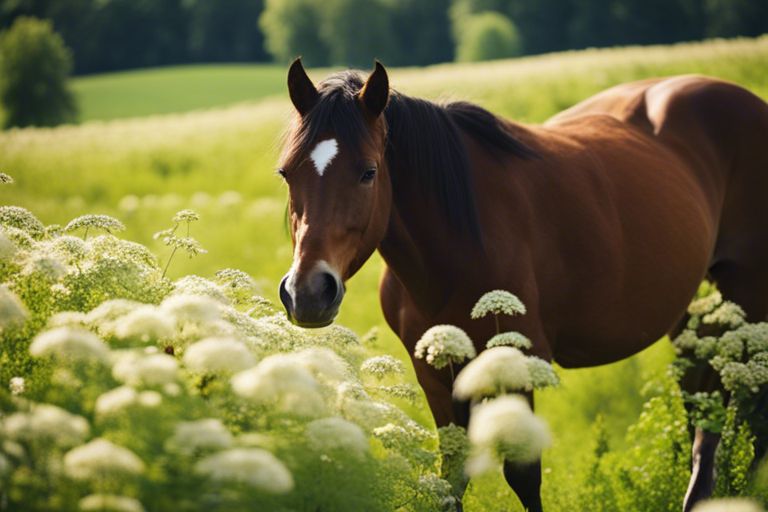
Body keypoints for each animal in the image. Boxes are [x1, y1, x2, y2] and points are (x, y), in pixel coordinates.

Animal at [274, 58, 768, 511]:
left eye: (368, 172)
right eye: (287, 173)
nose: (308, 293)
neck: (459, 245)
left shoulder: (518, 363)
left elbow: (524, 476)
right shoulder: (436, 375)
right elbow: (451, 476)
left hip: (747, 301)